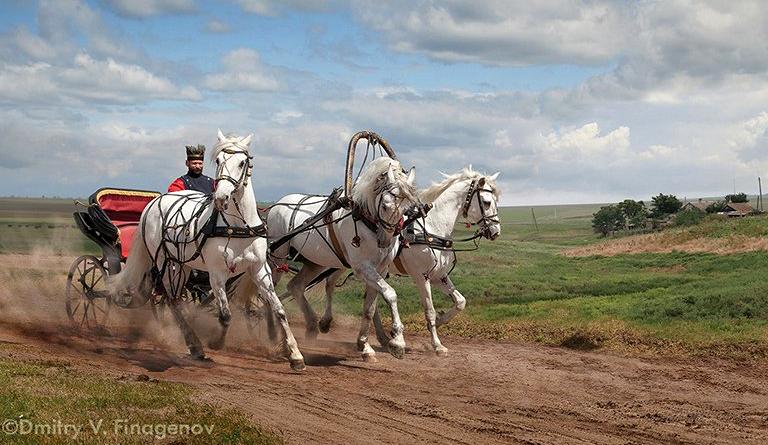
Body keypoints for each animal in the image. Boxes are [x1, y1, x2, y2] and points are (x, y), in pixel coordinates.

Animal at [109, 129, 306, 372]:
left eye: (242, 162)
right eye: (219, 160)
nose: (221, 198)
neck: (239, 227)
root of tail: (154, 203)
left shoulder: (260, 269)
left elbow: (279, 310)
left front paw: (295, 355)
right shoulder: (217, 273)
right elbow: (225, 315)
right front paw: (216, 342)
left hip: (182, 265)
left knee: (176, 301)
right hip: (167, 264)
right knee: (173, 301)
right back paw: (196, 346)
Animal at [266, 156, 420, 360]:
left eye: (407, 208)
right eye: (385, 205)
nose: (384, 241)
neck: (365, 220)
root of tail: (276, 205)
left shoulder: (380, 269)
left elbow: (369, 308)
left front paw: (364, 345)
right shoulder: (363, 267)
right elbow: (390, 294)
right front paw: (397, 342)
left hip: (315, 262)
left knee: (295, 286)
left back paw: (312, 326)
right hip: (278, 258)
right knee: (269, 293)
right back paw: (275, 336)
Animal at [320, 166, 500, 354]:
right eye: (487, 202)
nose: (495, 231)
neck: (432, 227)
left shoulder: (439, 276)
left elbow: (460, 301)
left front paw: (441, 320)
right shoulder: (422, 276)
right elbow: (429, 310)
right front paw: (437, 344)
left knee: (370, 301)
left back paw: (382, 337)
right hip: (341, 262)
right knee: (330, 283)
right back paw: (325, 322)